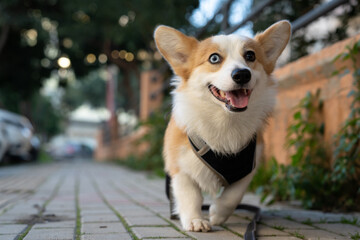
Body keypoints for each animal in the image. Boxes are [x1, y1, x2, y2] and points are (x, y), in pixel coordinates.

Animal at [153, 21, 292, 232]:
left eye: (250, 56)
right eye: (214, 58)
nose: (242, 74)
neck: (225, 120)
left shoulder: (247, 169)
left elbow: (232, 196)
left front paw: (217, 214)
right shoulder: (180, 169)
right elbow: (190, 196)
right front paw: (195, 220)